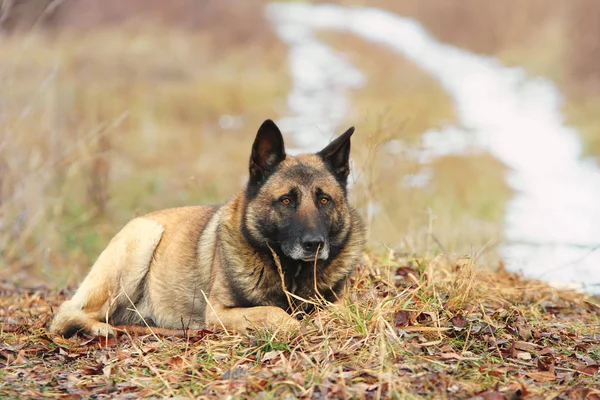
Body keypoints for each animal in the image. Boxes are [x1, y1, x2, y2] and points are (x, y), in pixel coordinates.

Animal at [50, 119, 366, 338]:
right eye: (286, 200)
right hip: (142, 241)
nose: (315, 244)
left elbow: (336, 310)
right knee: (66, 313)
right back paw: (97, 328)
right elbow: (274, 312)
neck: (289, 272)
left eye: (324, 200)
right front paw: (297, 326)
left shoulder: (339, 301)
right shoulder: (219, 312)